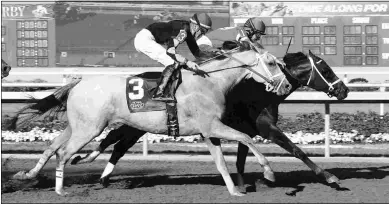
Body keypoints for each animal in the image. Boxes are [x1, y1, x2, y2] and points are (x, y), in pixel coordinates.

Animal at [9, 47, 292, 196]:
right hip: (89, 129)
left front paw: (234, 190)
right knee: (64, 153)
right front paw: (269, 173)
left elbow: (222, 162)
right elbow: (246, 138)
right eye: (270, 62)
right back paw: (60, 190)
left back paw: (29, 175)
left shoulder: (208, 132)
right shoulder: (212, 126)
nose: (287, 85)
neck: (211, 81)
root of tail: (78, 82)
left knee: (52, 147)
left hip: (78, 126)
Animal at [67, 50, 348, 192]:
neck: (259, 90)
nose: (344, 90)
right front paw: (329, 177)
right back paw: (95, 171)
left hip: (136, 125)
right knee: (116, 144)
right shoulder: (265, 128)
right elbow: (296, 150)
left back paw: (101, 175)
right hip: (134, 125)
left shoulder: (246, 130)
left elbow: (241, 158)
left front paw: (244, 184)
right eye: (325, 69)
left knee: (116, 145)